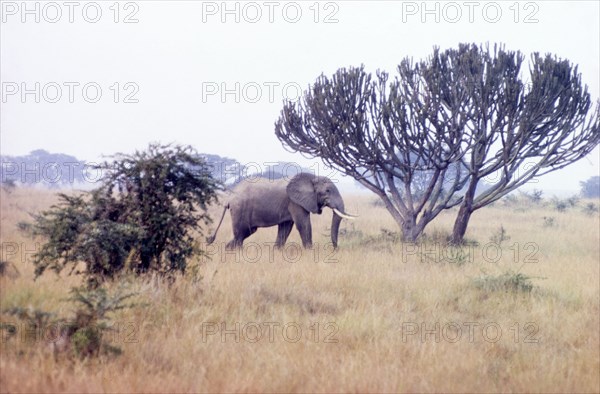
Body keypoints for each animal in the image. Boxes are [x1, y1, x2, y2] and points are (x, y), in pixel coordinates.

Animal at [207, 172, 356, 249]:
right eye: (327, 191)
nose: (336, 249)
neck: (312, 177)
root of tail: (229, 197)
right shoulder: (295, 202)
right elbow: (303, 225)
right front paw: (310, 252)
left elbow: (285, 228)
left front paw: (276, 252)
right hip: (240, 209)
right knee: (241, 234)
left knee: (245, 233)